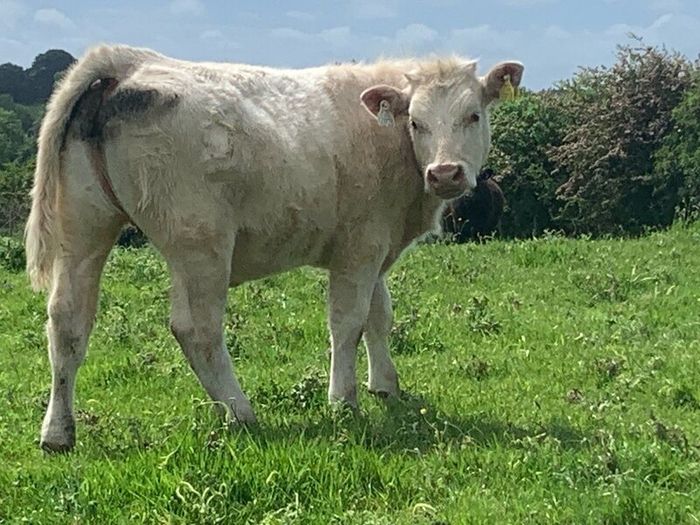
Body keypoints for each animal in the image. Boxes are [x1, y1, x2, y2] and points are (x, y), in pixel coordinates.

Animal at [25, 44, 523, 452]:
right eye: (416, 122)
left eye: (473, 115)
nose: (444, 173)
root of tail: (127, 64)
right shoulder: (359, 247)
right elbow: (349, 322)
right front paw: (343, 401)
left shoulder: (378, 248)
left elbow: (381, 315)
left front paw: (385, 385)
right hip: (200, 242)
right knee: (196, 329)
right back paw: (239, 411)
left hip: (84, 227)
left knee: (68, 321)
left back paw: (58, 433)